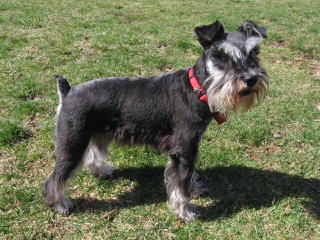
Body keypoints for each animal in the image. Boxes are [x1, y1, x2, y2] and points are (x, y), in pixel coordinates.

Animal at [42, 20, 268, 221]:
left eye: (254, 52)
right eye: (221, 56)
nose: (250, 79)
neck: (195, 89)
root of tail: (68, 91)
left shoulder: (191, 147)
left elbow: (188, 175)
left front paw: (194, 189)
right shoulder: (182, 149)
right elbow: (180, 182)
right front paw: (185, 211)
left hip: (95, 134)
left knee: (90, 156)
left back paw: (102, 170)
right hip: (72, 142)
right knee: (53, 180)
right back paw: (61, 204)